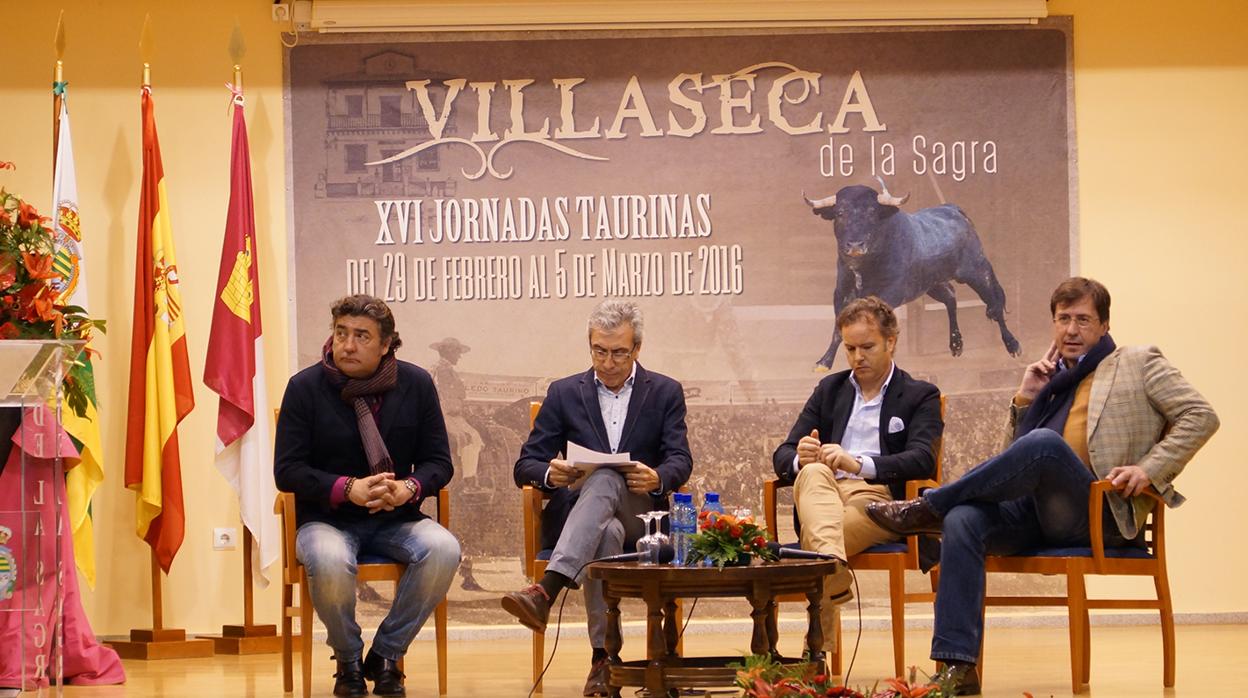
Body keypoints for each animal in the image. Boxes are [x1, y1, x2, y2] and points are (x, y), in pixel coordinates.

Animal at [287, 19, 1078, 614]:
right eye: (600, 355)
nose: (854, 246)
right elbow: (536, 460)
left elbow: (812, 451)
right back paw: (531, 593)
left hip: (974, 274)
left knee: (980, 309)